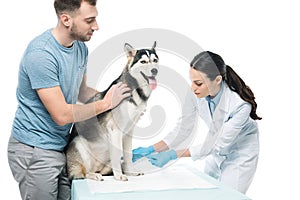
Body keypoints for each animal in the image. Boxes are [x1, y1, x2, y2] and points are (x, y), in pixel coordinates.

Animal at [66, 41, 159, 181]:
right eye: (143, 62)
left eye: (155, 60)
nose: (155, 70)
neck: (135, 89)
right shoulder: (115, 130)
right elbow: (117, 155)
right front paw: (119, 176)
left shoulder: (128, 132)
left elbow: (128, 155)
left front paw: (131, 172)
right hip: (79, 145)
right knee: (83, 173)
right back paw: (93, 175)